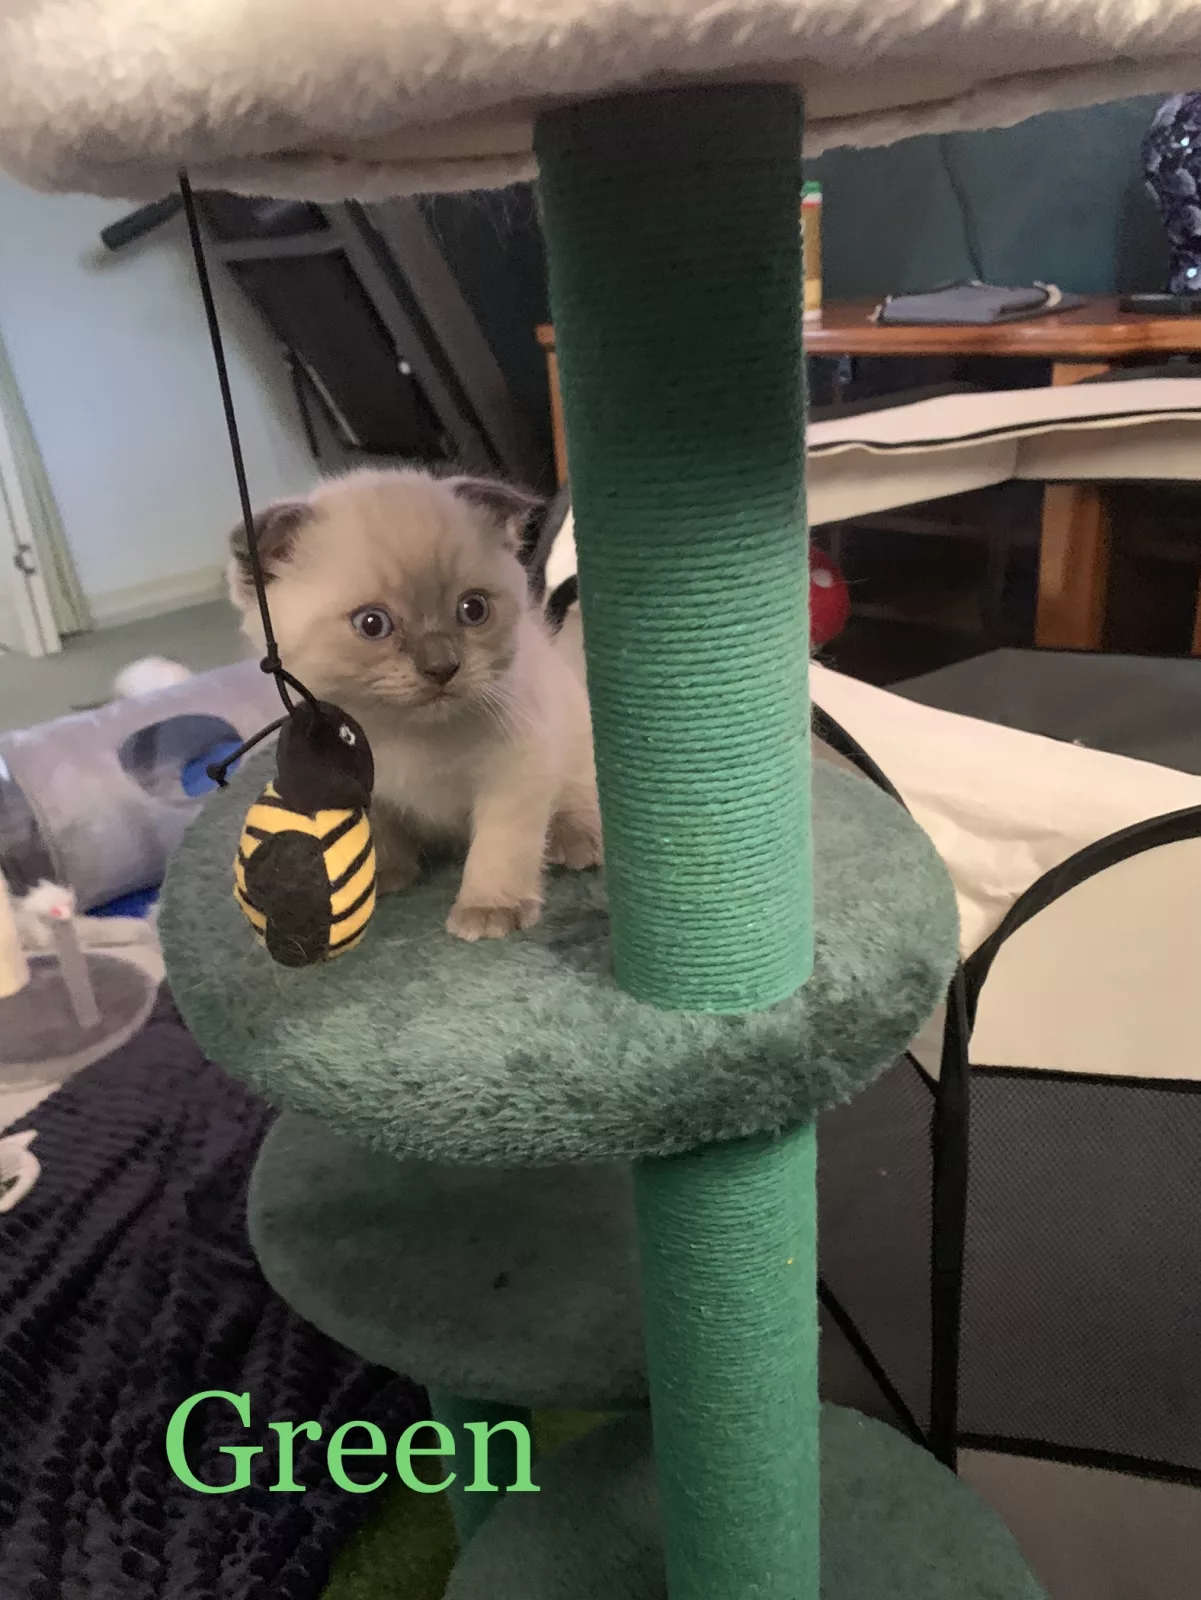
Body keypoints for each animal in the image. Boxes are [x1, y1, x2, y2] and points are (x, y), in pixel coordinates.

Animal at [227, 467, 602, 942]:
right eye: (372, 624)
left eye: (473, 609)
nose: (442, 667)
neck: (405, 735)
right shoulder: (354, 782)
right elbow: (378, 830)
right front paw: (385, 875)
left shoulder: (516, 767)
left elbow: (501, 843)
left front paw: (489, 908)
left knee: (581, 795)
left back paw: (579, 841)